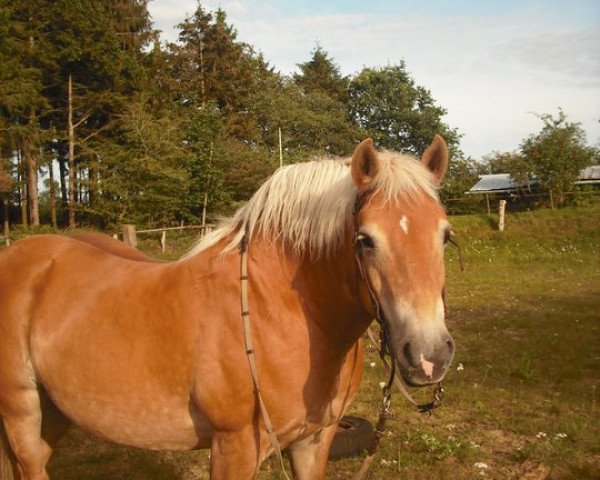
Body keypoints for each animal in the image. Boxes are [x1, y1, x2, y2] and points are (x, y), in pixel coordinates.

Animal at [0, 136, 454, 480]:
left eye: (445, 235)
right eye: (365, 239)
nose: (428, 355)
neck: (280, 313)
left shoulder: (314, 440)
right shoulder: (233, 448)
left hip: (52, 413)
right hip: (20, 410)